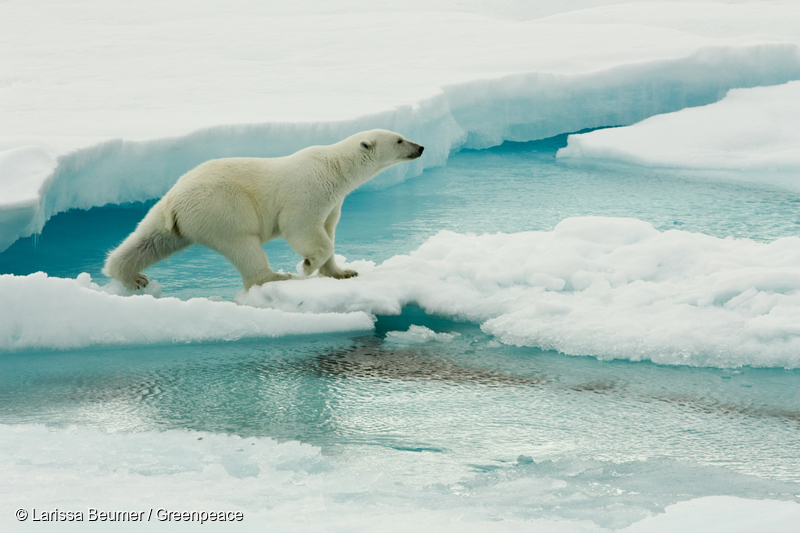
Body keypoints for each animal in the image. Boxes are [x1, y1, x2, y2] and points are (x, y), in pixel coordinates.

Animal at [104, 130, 424, 290]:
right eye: (399, 139)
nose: (420, 147)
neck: (334, 168)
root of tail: (175, 200)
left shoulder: (334, 201)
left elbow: (329, 231)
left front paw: (344, 272)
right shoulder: (308, 191)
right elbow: (304, 229)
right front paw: (307, 266)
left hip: (171, 215)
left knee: (149, 240)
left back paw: (132, 276)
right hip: (223, 208)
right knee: (244, 246)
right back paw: (276, 277)